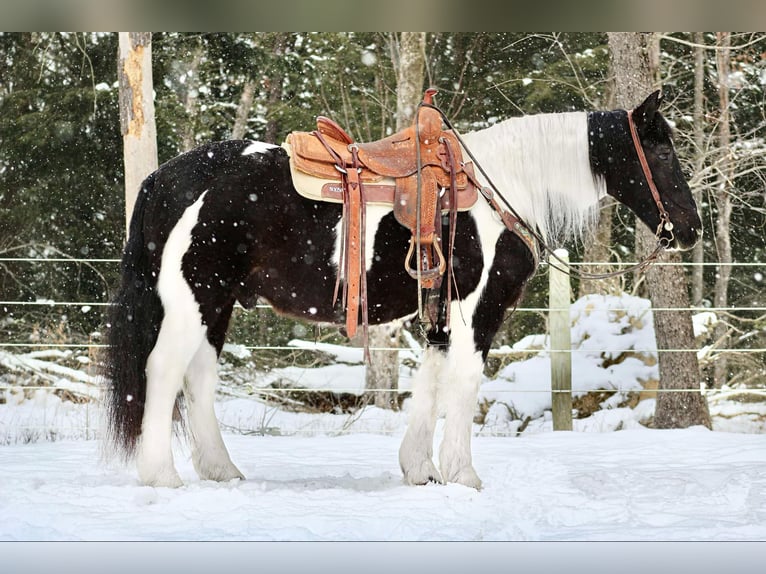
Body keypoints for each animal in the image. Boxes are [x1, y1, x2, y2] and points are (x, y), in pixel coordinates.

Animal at [102, 91, 704, 490]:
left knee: (198, 378)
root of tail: (164, 178)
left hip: (216, 304)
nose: (692, 229)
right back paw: (162, 476)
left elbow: (430, 383)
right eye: (664, 152)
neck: (500, 189)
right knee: (163, 371)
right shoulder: (476, 310)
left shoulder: (439, 314)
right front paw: (464, 475)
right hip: (194, 299)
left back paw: (222, 471)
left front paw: (421, 469)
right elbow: (463, 382)